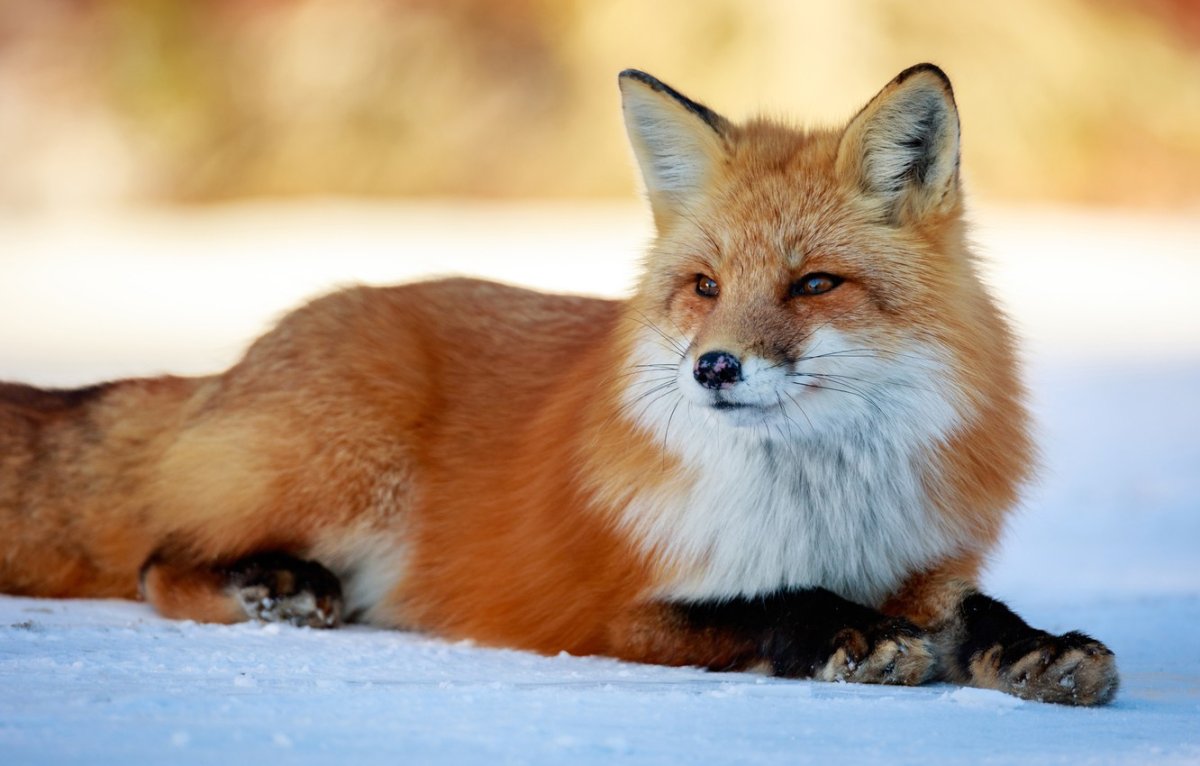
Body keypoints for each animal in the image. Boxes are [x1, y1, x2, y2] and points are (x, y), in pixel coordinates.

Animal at [0, 64, 1117, 705]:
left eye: (814, 285)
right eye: (705, 287)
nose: (714, 365)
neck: (821, 504)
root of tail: (237, 360)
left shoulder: (924, 569)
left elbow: (978, 617)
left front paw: (1043, 650)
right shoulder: (619, 610)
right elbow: (771, 601)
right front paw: (840, 629)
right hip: (342, 472)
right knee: (160, 561)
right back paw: (272, 587)